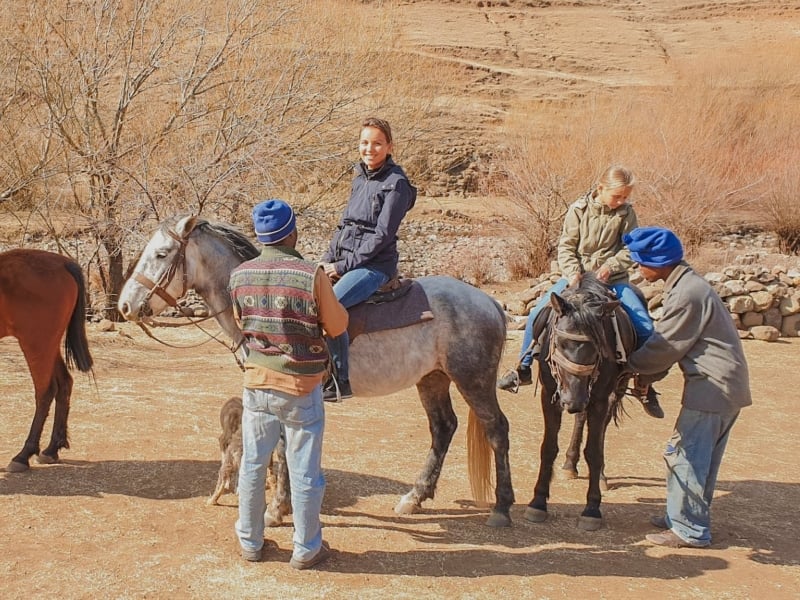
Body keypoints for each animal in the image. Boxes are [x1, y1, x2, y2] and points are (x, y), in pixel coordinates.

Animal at [0, 250, 94, 474]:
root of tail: (62, 263)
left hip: (37, 344)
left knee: (45, 391)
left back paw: (23, 455)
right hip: (49, 345)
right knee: (64, 383)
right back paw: (52, 449)